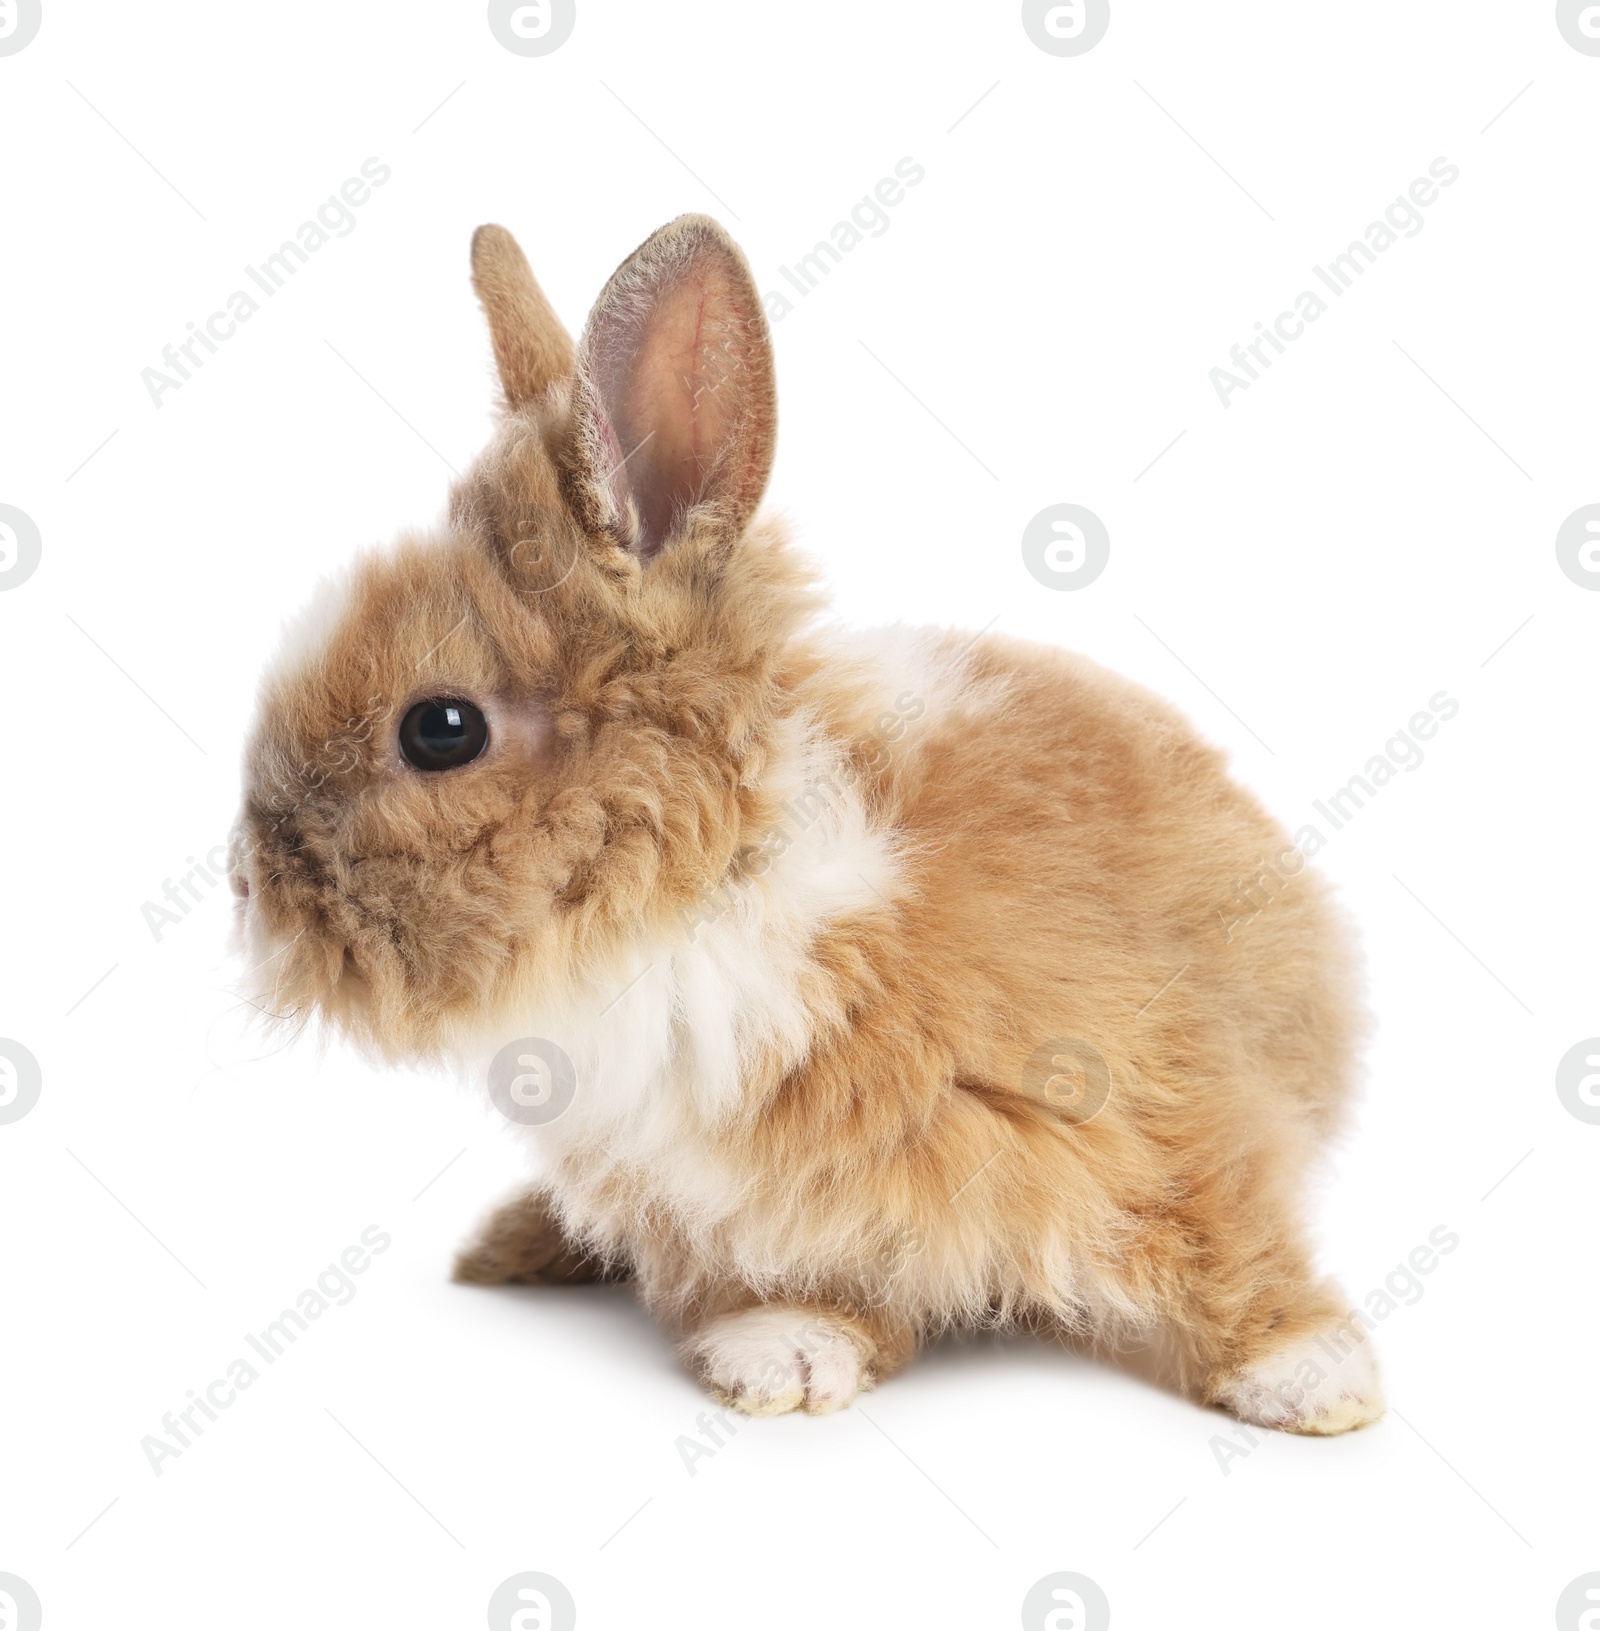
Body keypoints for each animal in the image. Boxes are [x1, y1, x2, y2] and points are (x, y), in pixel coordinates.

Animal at [231, 213, 1383, 1441]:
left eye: (438, 728)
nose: (247, 885)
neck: (709, 894)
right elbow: (811, 1283)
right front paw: (781, 1355)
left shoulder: (1168, 1091)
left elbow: (1227, 1231)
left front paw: (1315, 1378)